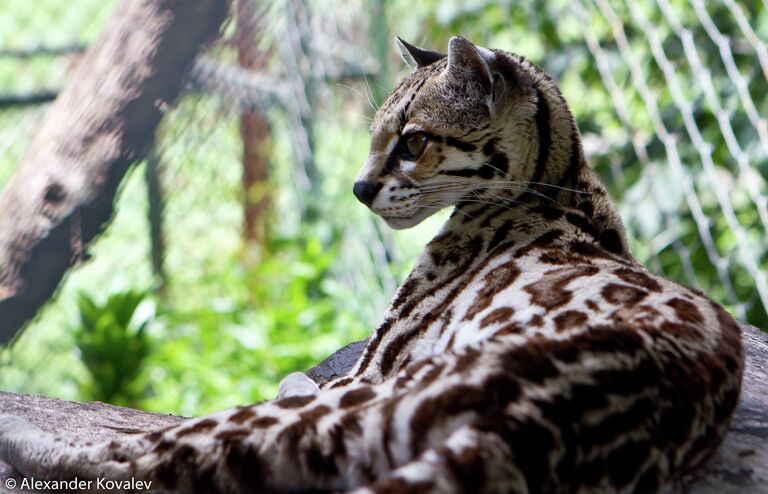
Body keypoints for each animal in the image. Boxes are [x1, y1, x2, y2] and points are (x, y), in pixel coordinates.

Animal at [0, 36, 744, 492]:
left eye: (412, 142)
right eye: (372, 138)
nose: (358, 188)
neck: (562, 177)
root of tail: (539, 419)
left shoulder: (369, 366)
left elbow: (294, 380)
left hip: (355, 405)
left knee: (150, 456)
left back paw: (21, 432)